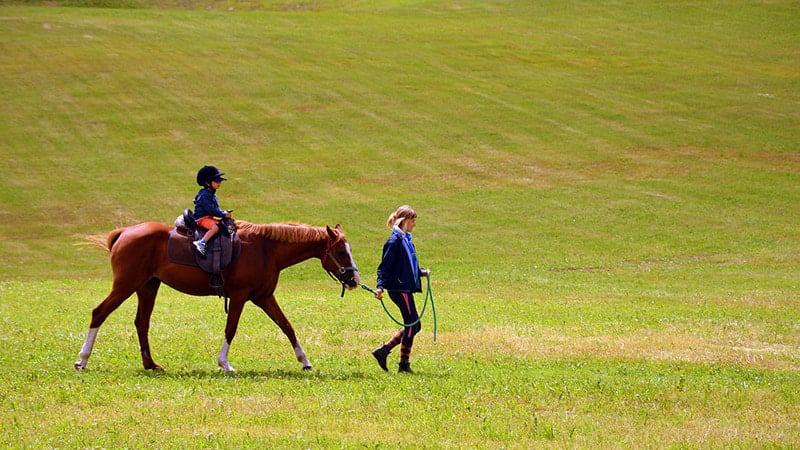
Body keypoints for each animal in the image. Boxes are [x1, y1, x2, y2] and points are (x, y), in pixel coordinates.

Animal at [75, 221, 362, 372]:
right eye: (341, 251)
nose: (355, 280)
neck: (265, 249)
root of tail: (124, 232)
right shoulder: (239, 296)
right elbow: (231, 328)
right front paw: (224, 363)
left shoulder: (264, 297)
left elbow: (287, 327)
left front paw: (304, 361)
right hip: (126, 285)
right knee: (99, 313)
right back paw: (83, 359)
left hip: (147, 287)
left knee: (141, 323)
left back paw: (150, 363)